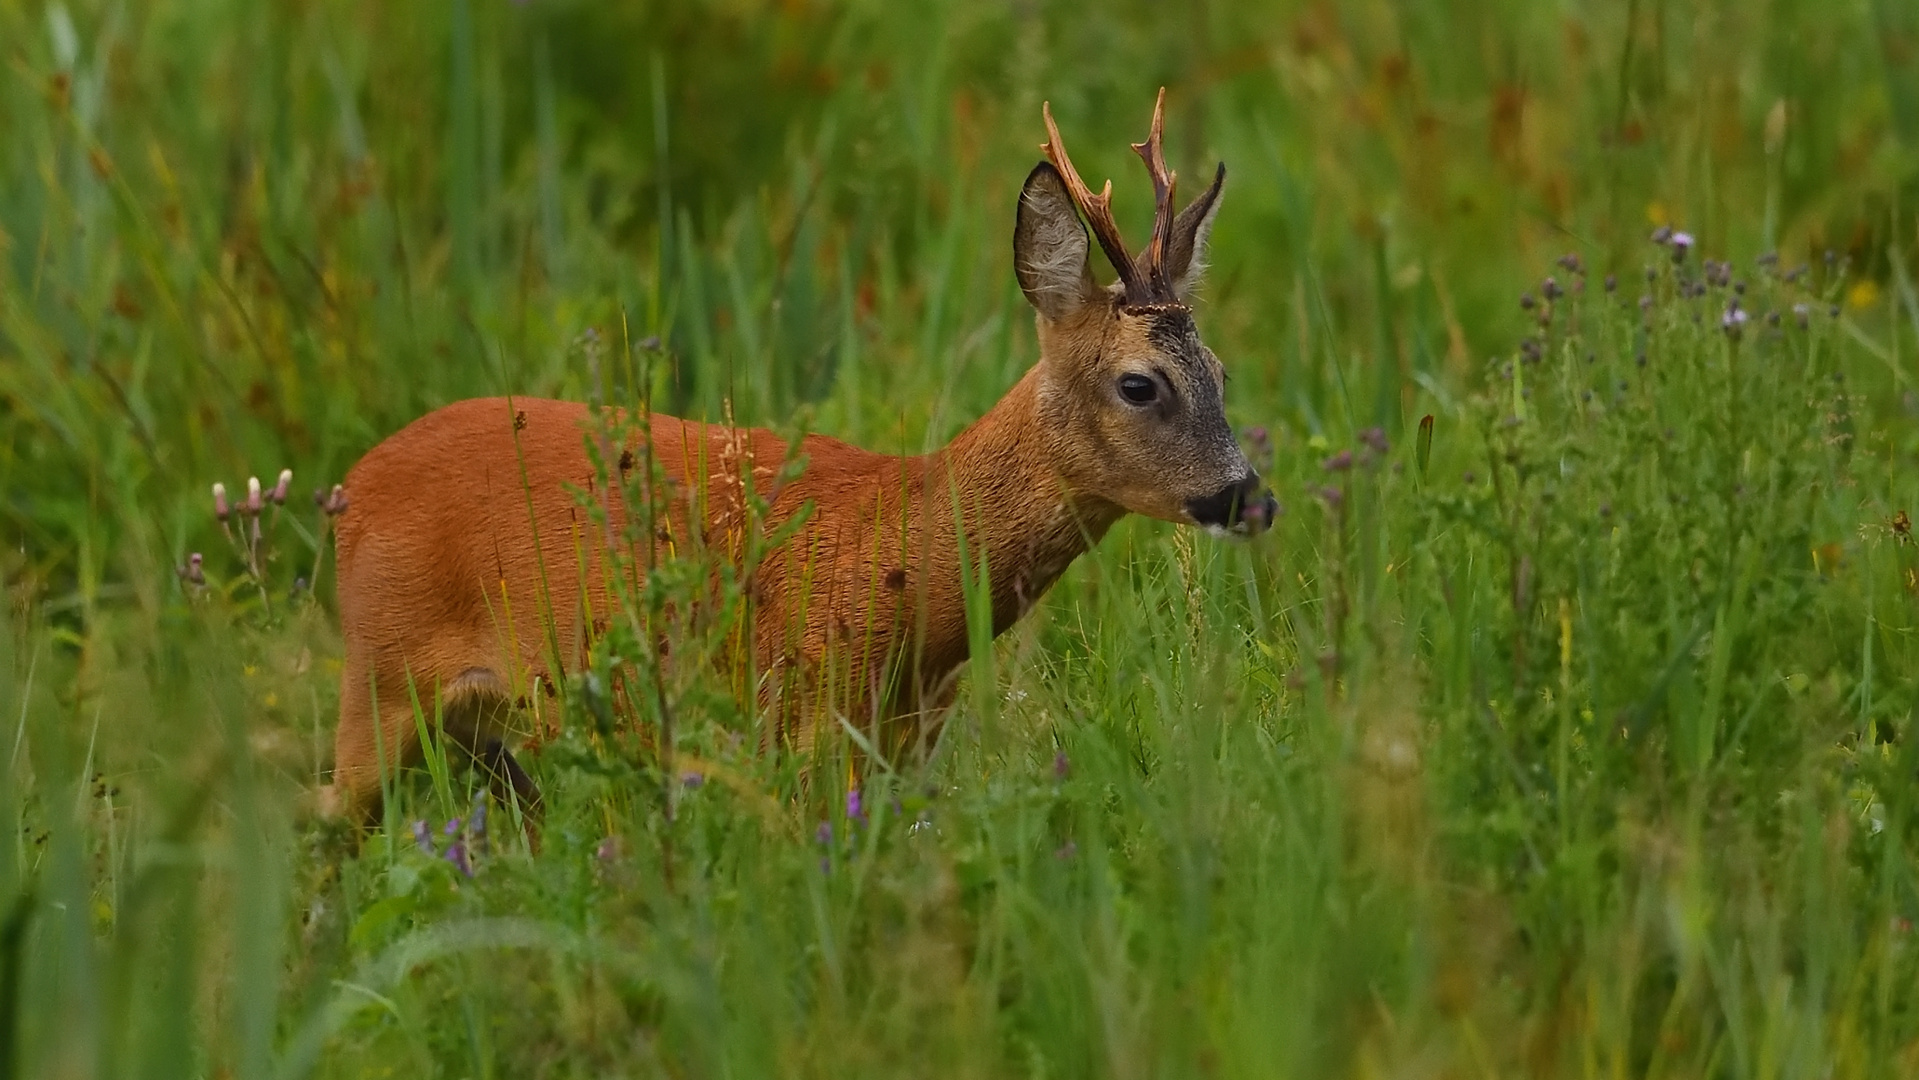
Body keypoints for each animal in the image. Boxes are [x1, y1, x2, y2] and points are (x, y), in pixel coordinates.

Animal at [322, 90, 1266, 821]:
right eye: (1140, 384)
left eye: (1220, 371)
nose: (1248, 496)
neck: (897, 559)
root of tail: (350, 487)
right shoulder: (803, 717)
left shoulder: (903, 740)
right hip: (379, 676)